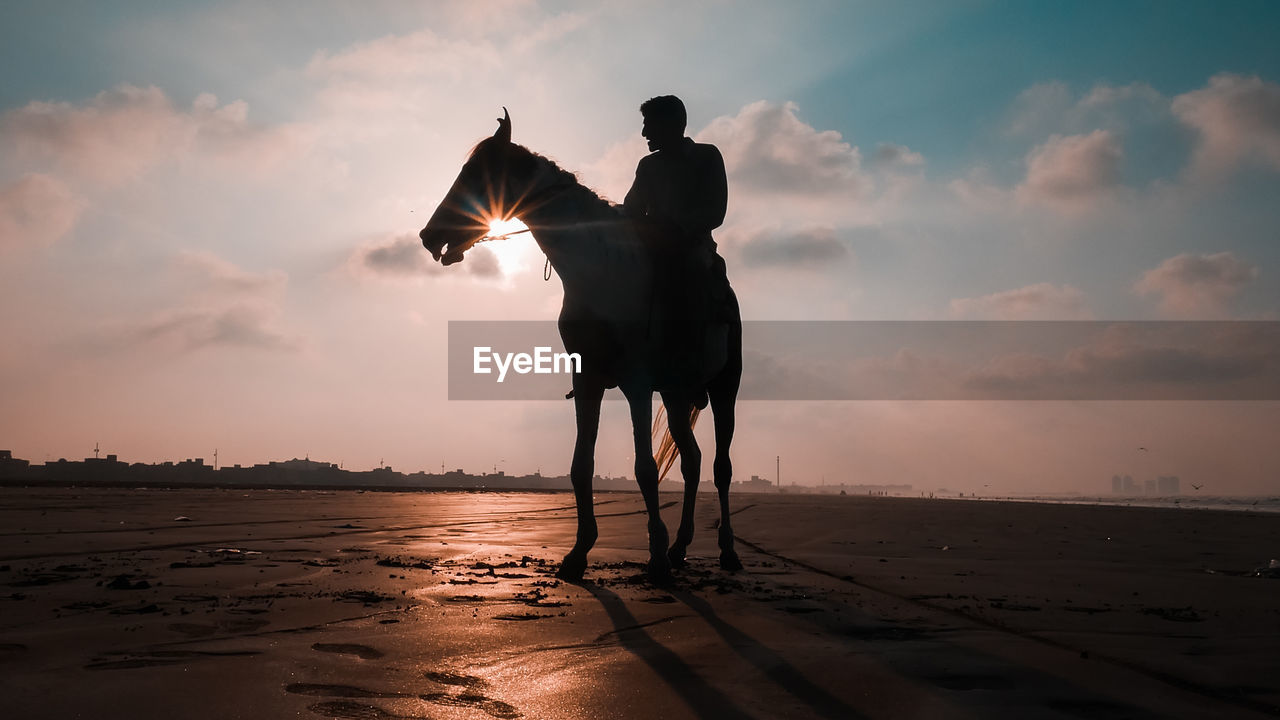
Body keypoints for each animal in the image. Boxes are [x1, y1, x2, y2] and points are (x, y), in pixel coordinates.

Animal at [419, 110, 742, 584]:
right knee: (693, 461)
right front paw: (578, 553)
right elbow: (580, 465)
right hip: (677, 394)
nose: (430, 236)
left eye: (476, 174)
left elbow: (644, 468)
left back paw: (726, 551)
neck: (598, 266)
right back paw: (682, 546)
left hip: (723, 389)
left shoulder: (636, 383)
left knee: (720, 468)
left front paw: (656, 557)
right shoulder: (587, 378)